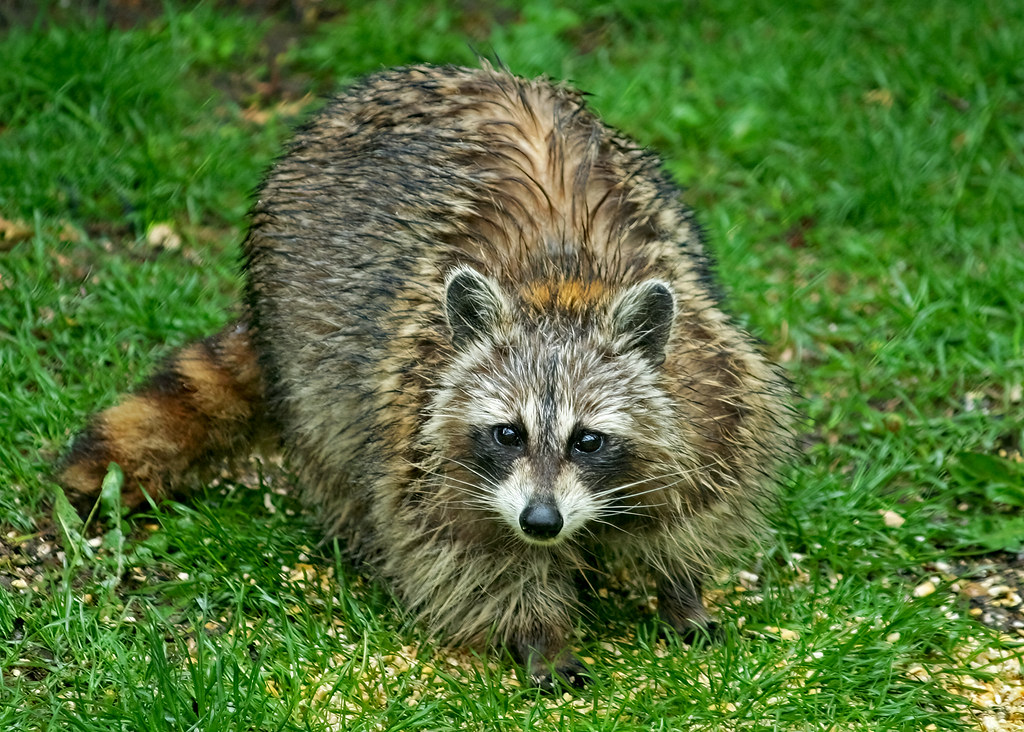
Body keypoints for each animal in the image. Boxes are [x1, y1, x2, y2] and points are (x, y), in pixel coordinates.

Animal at [59, 64, 794, 689]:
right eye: (506, 432)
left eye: (588, 439)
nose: (541, 521)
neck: (564, 288)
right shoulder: (417, 426)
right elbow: (472, 553)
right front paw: (539, 630)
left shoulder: (712, 393)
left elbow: (694, 505)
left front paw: (681, 587)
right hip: (303, 342)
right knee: (334, 437)